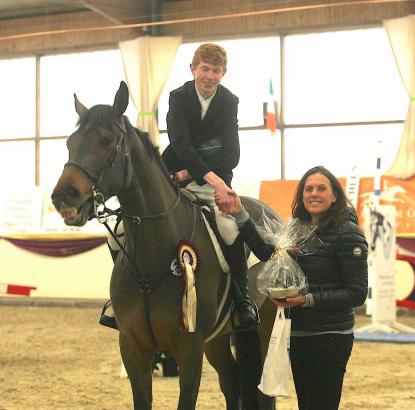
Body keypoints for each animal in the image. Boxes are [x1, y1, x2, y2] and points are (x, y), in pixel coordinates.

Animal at [51, 81, 280, 410]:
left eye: (106, 140)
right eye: (70, 143)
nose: (63, 197)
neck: (152, 260)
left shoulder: (190, 349)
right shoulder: (133, 348)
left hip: (264, 325)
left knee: (261, 388)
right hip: (218, 339)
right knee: (231, 380)